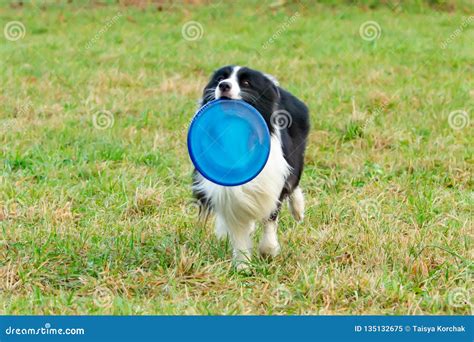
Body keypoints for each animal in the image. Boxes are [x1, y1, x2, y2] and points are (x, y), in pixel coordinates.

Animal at [193, 65, 312, 270]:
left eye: (246, 82)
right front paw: (242, 265)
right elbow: (238, 230)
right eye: (220, 78)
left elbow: (270, 217)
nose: (224, 86)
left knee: (293, 183)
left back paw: (298, 211)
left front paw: (268, 251)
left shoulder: (271, 181)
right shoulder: (228, 194)